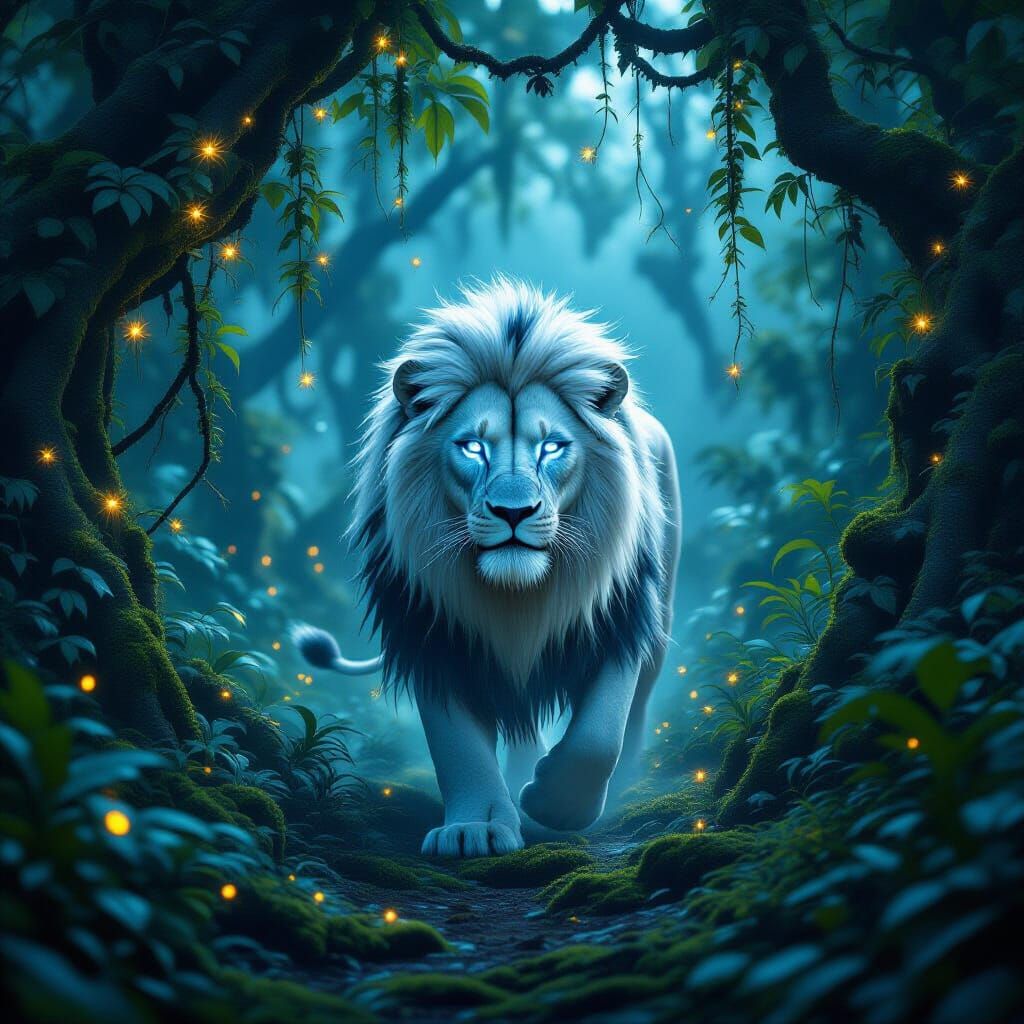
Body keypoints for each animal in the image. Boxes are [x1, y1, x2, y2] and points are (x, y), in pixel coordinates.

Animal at [295, 277, 680, 857]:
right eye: (473, 447)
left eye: (552, 447)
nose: (513, 511)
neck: (517, 597)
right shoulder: (433, 635)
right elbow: (458, 747)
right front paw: (473, 829)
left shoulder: (618, 618)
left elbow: (598, 734)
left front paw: (556, 805)